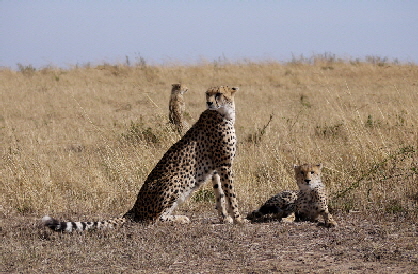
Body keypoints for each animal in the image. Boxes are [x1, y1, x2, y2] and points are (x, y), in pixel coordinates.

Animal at [42, 85, 242, 231]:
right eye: (208, 94)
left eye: (218, 94)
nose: (209, 102)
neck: (225, 113)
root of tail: (134, 208)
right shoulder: (225, 165)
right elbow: (231, 195)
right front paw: (239, 219)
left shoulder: (217, 167)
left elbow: (220, 195)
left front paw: (225, 218)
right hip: (176, 179)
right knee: (152, 219)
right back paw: (178, 219)